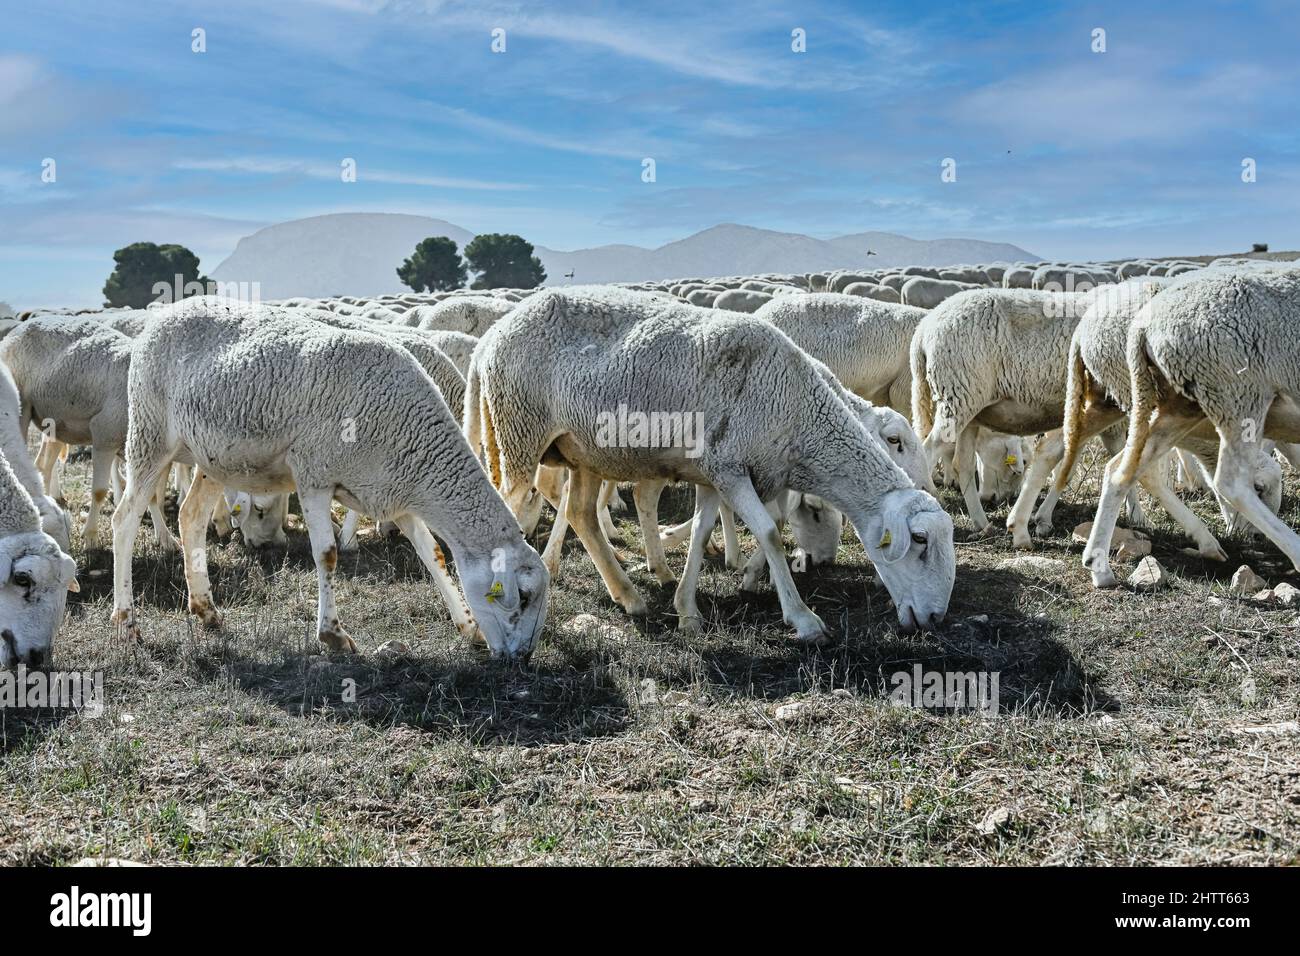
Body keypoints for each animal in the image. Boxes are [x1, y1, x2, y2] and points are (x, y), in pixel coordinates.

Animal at [0, 316, 178, 548]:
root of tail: (21, 327)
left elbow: (151, 496)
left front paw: (165, 537)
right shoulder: (104, 435)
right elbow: (99, 491)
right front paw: (91, 536)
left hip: (55, 422)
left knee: (43, 465)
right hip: (23, 407)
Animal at [110, 303, 548, 660]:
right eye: (523, 597)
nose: (522, 659)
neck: (413, 441)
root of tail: (166, 313)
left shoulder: (392, 492)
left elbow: (434, 554)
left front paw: (469, 627)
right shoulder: (314, 477)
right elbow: (327, 554)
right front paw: (334, 635)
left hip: (213, 457)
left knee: (192, 517)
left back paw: (206, 610)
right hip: (150, 434)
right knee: (125, 519)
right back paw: (127, 622)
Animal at [467, 287, 956, 639]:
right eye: (919, 540)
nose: (936, 618)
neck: (799, 411)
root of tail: (489, 339)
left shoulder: (712, 470)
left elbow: (703, 533)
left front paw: (687, 609)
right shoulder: (731, 469)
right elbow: (770, 532)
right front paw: (801, 617)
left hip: (580, 450)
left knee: (581, 513)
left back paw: (628, 595)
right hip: (519, 429)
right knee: (514, 510)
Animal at [1076, 265, 1300, 587]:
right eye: (1261, 488)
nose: (1255, 538)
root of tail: (1143, 324)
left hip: (1177, 405)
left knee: (1123, 470)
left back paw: (1100, 564)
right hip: (1238, 393)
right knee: (1227, 483)